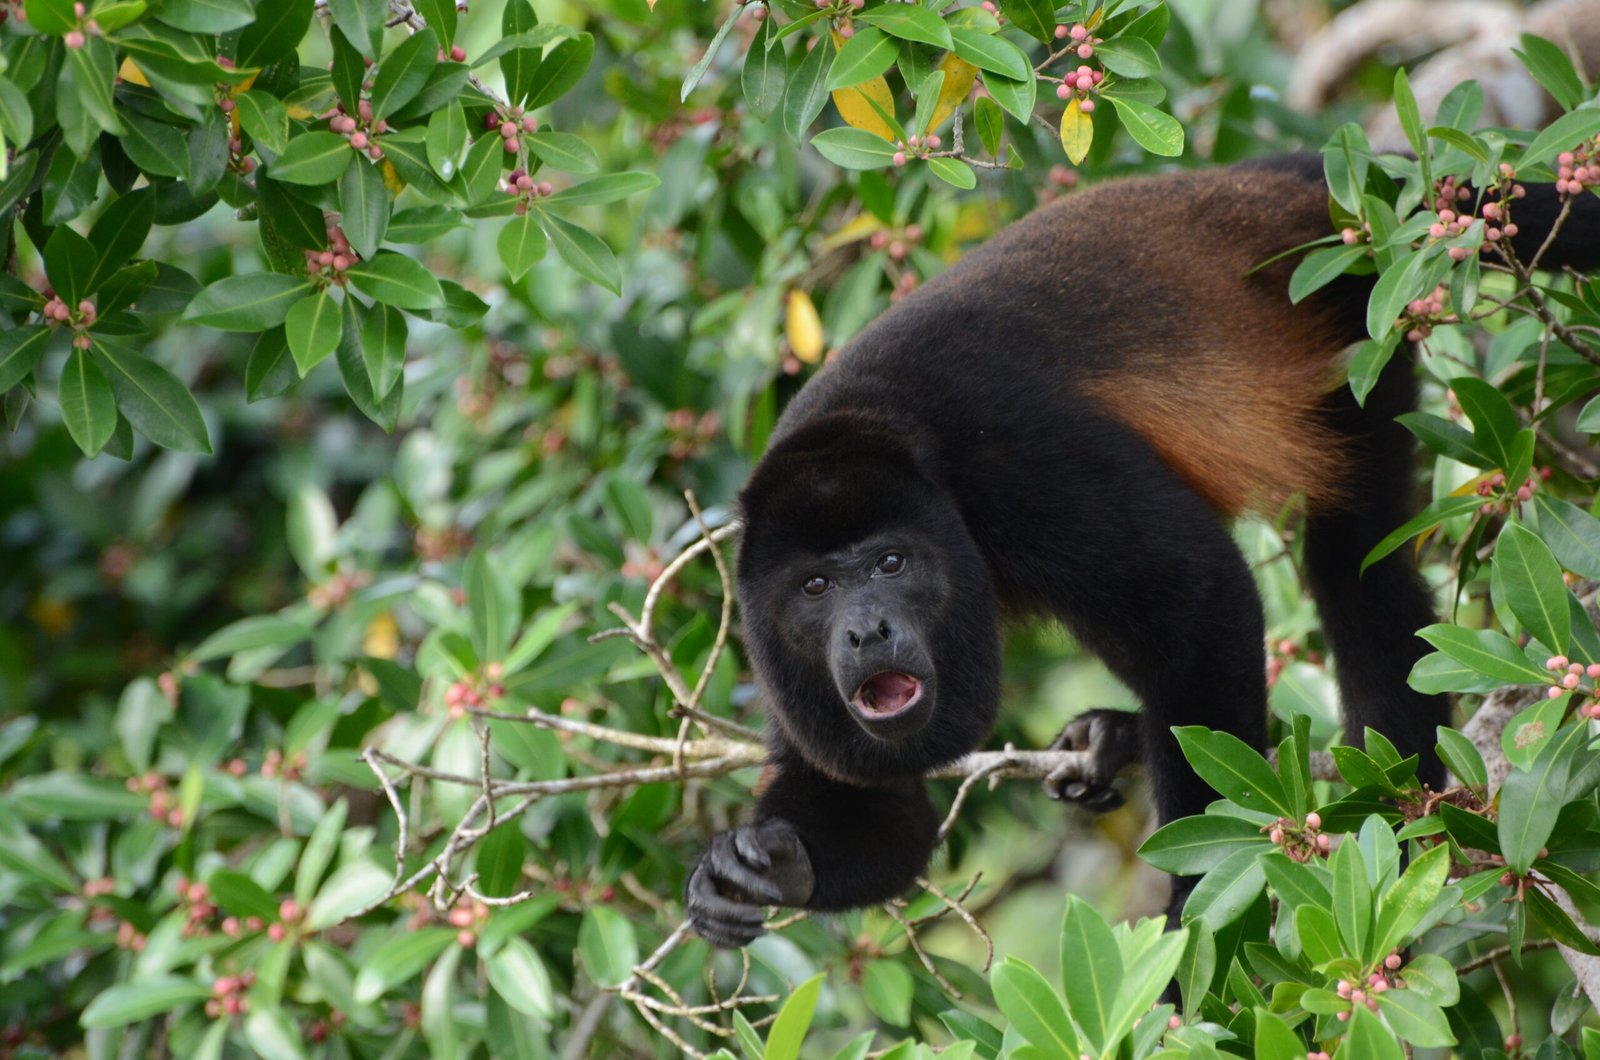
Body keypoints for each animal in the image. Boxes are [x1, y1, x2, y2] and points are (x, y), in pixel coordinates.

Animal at [683, 153, 1600, 948]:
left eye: (889, 564)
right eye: (814, 587)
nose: (865, 629)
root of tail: (1290, 180)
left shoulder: (1017, 465)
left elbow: (1199, 594)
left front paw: (1198, 928)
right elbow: (876, 800)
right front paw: (763, 868)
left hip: (1358, 311)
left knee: (1354, 556)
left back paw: (1401, 807)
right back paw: (1118, 736)